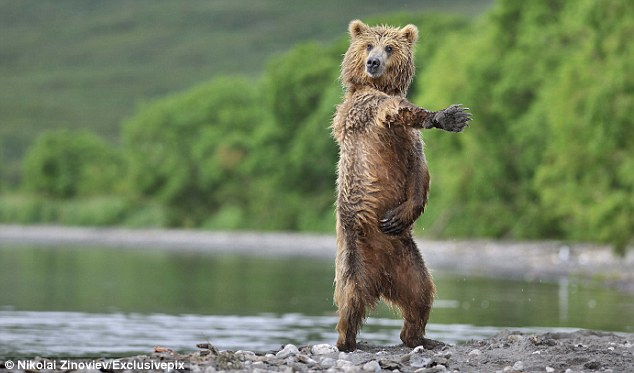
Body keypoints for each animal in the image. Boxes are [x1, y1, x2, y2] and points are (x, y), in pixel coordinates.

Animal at [330, 19, 470, 352]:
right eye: (369, 45)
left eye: (390, 47)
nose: (373, 62)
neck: (376, 86)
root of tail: (380, 279)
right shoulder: (367, 110)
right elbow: (395, 109)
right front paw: (444, 116)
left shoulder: (410, 144)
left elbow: (420, 171)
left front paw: (399, 215)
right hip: (354, 254)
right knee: (351, 298)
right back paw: (348, 341)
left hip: (407, 257)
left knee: (421, 293)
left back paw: (420, 337)